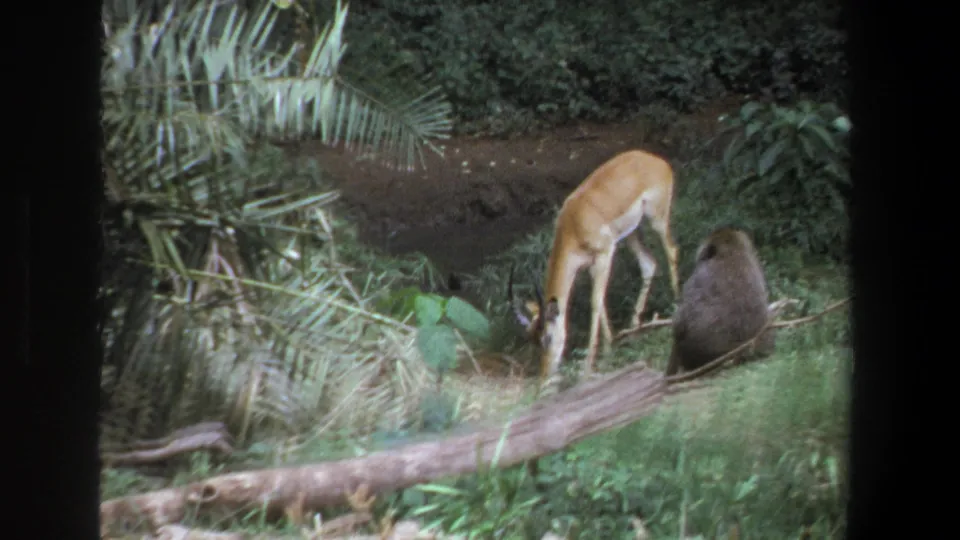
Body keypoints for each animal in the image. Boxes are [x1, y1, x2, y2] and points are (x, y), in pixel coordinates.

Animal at [509, 149, 681, 395]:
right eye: (531, 338)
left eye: (548, 338)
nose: (544, 380)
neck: (574, 223)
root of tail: (654, 158)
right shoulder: (588, 266)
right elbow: (601, 302)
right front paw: (610, 349)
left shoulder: (604, 254)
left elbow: (595, 302)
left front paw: (588, 369)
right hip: (631, 233)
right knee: (649, 263)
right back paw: (634, 328)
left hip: (656, 218)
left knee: (672, 251)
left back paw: (676, 307)